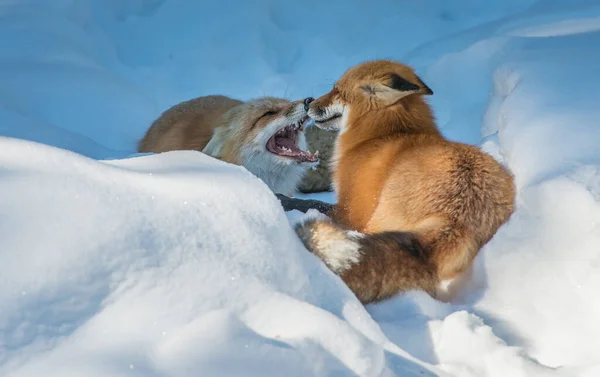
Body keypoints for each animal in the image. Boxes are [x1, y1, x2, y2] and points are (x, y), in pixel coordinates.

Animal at [296, 60, 516, 304]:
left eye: (336, 90)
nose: (307, 102)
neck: (383, 134)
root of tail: (456, 218)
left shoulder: (350, 211)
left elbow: (312, 204)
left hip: (373, 223)